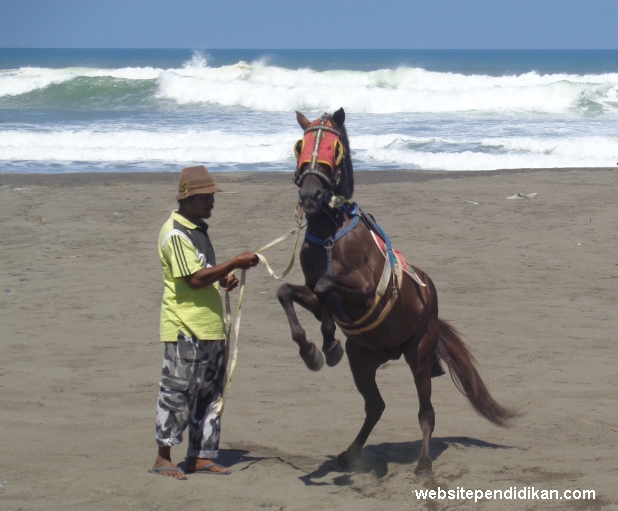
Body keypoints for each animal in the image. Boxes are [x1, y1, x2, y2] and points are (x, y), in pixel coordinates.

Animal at [276, 107, 516, 472]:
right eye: (299, 145)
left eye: (334, 148)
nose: (310, 195)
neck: (330, 232)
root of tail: (432, 302)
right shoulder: (311, 293)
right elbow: (289, 292)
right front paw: (313, 350)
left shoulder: (364, 289)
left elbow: (327, 285)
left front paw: (327, 342)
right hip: (362, 360)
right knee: (375, 406)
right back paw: (350, 453)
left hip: (419, 355)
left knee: (426, 413)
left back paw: (423, 464)